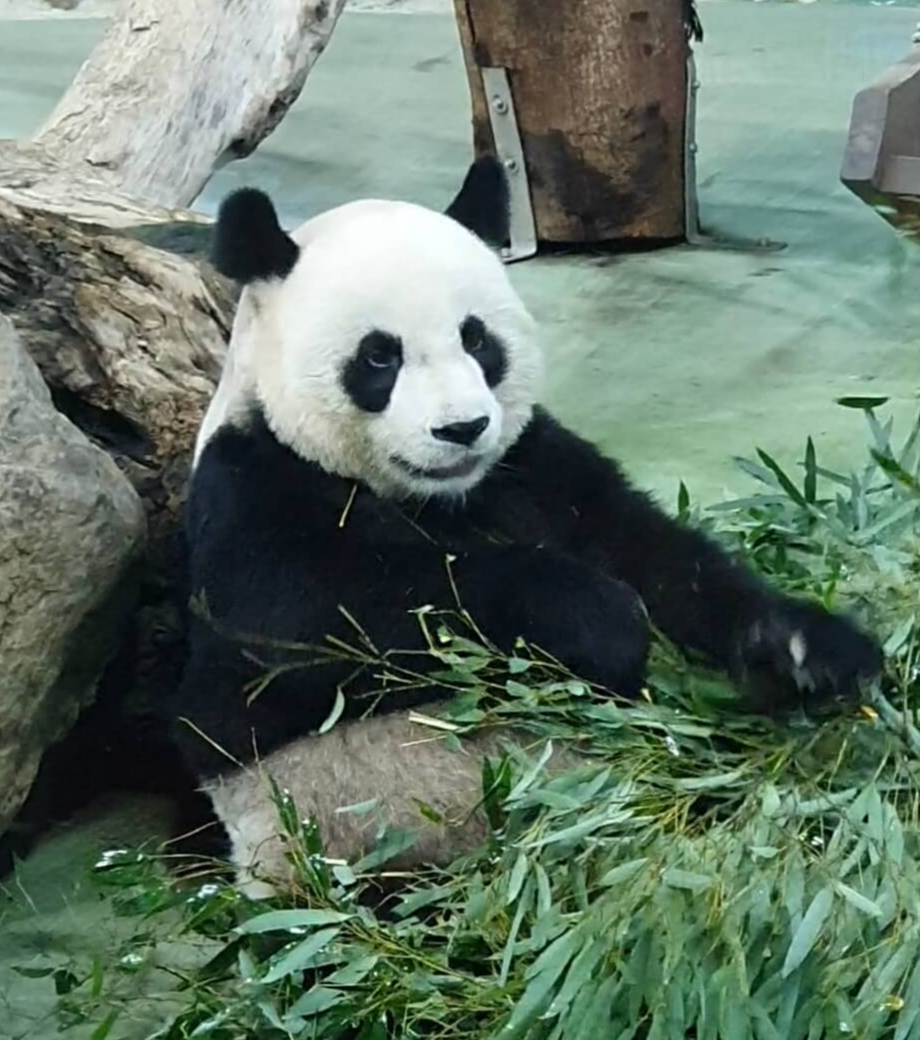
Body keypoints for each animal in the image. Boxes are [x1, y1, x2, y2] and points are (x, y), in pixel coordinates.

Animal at [172, 157, 882, 898]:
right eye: (378, 357)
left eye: (476, 337)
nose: (461, 428)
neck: (438, 497)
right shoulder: (252, 485)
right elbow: (303, 621)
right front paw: (602, 618)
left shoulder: (533, 465)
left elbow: (654, 554)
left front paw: (811, 650)